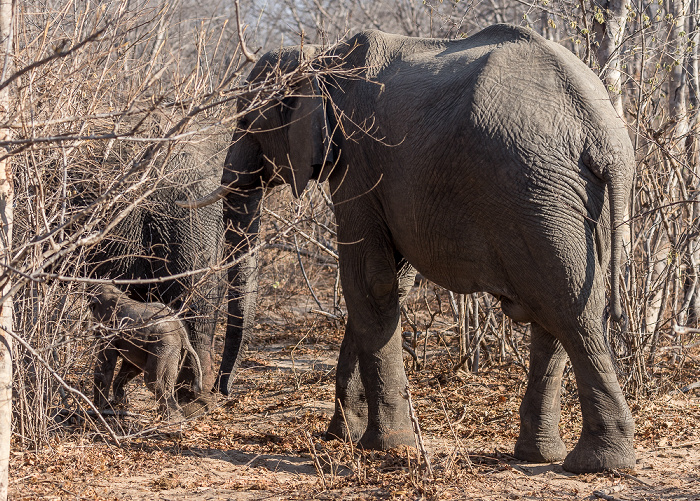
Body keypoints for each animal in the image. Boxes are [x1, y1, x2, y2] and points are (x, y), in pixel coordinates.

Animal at [90, 284, 202, 420]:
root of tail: (181, 332)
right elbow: (131, 366)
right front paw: (120, 401)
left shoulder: (110, 330)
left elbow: (106, 365)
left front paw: (100, 408)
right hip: (175, 350)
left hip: (165, 346)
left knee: (155, 382)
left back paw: (174, 419)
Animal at [183, 26, 636, 472]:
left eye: (246, 120)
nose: (221, 393)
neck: (320, 54)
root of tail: (604, 137)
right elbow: (388, 285)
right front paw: (341, 436)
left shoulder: (358, 158)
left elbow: (368, 280)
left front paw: (383, 445)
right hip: (570, 198)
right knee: (557, 311)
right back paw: (542, 456)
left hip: (534, 190)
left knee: (568, 309)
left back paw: (597, 464)